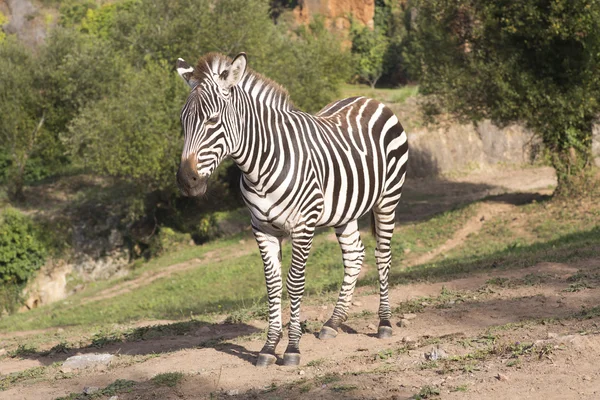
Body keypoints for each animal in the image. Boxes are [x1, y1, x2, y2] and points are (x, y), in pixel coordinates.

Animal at [173, 52, 408, 366]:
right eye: (182, 122)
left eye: (213, 121)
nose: (187, 181)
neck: (258, 166)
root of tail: (369, 99)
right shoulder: (261, 229)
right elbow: (272, 285)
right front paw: (269, 347)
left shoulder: (303, 225)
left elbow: (295, 283)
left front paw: (292, 348)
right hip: (344, 209)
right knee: (354, 255)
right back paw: (333, 323)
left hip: (388, 198)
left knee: (382, 255)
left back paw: (384, 323)